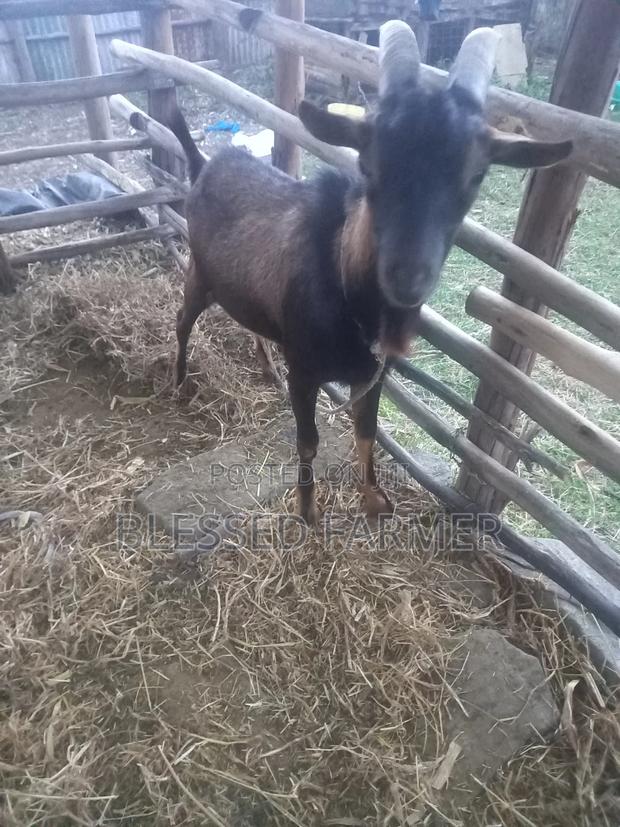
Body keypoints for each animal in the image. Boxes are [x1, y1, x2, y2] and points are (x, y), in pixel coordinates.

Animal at [168, 21, 572, 526]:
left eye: (477, 174)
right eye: (367, 161)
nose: (406, 277)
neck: (342, 281)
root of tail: (205, 163)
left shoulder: (375, 373)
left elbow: (368, 431)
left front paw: (375, 500)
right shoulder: (305, 370)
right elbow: (309, 440)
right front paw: (308, 511)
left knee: (248, 322)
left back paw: (264, 367)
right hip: (200, 274)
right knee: (182, 321)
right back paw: (179, 382)